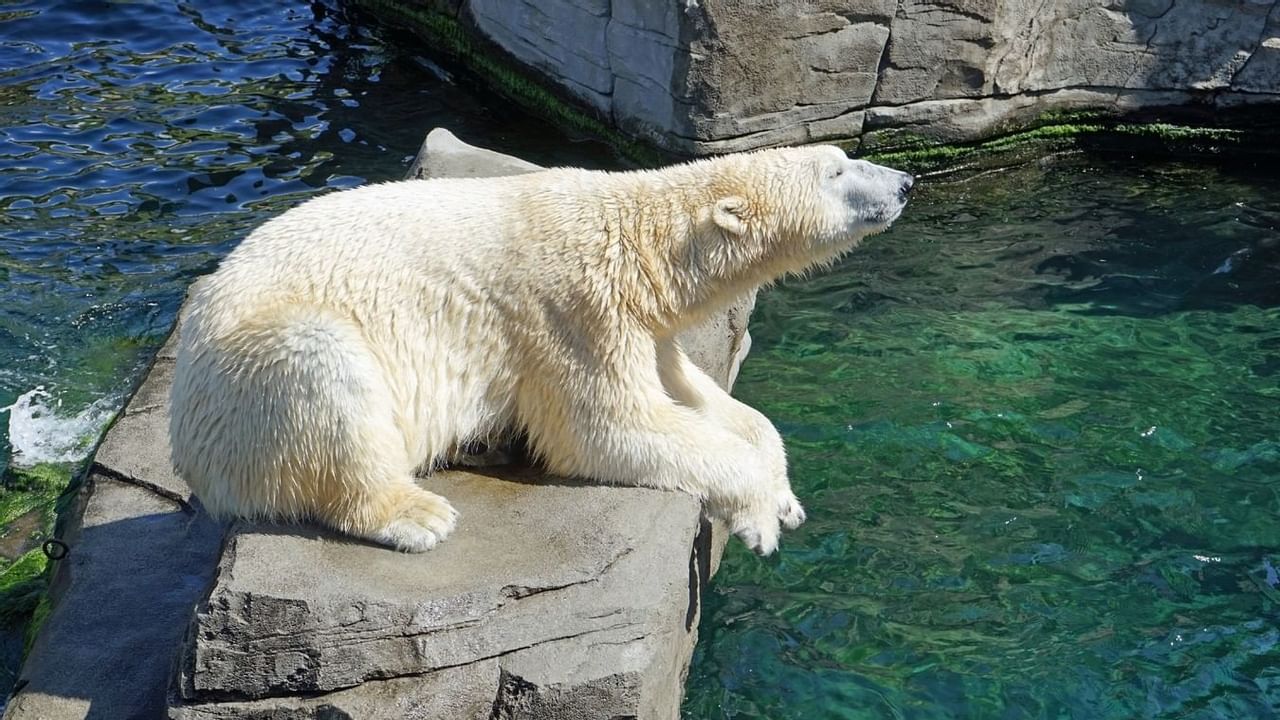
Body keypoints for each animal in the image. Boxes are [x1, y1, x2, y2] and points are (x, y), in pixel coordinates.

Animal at [169, 144, 913, 556]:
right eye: (837, 170)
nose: (906, 182)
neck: (639, 239)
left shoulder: (638, 323)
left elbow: (702, 399)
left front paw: (784, 496)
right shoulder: (572, 310)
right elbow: (606, 428)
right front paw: (759, 517)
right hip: (251, 372)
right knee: (324, 371)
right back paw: (417, 514)